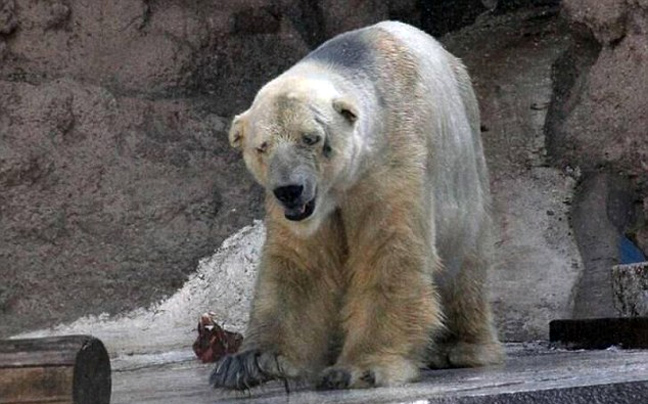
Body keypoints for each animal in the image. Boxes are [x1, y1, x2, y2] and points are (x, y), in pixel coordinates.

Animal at [210, 20, 504, 390]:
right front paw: (250, 362)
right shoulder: (304, 210)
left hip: (465, 170)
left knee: (464, 263)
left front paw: (358, 367)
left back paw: (460, 347)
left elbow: (390, 250)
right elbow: (301, 264)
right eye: (262, 146)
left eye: (312, 138)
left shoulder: (391, 164)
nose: (290, 190)